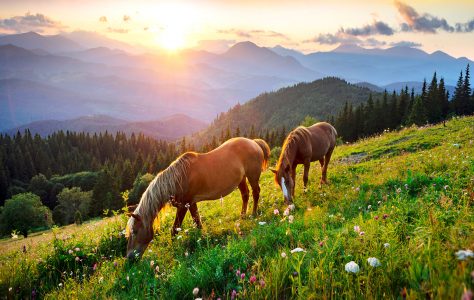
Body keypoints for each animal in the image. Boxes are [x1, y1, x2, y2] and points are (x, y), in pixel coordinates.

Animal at [125, 137, 270, 258]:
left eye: (135, 231)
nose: (129, 258)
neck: (178, 178)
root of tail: (254, 142)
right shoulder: (191, 203)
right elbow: (197, 222)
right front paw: (203, 238)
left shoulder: (184, 205)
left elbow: (174, 229)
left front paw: (174, 248)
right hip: (241, 179)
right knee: (245, 195)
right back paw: (242, 216)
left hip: (252, 176)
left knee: (256, 193)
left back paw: (254, 214)